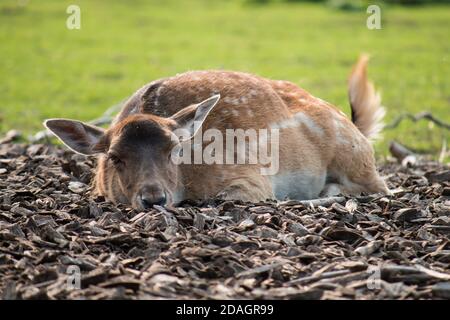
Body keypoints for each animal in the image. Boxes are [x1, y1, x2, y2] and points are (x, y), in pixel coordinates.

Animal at [44, 55, 390, 210]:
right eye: (115, 157)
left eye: (173, 150)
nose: (154, 198)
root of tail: (357, 126)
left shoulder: (252, 178)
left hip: (356, 159)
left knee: (382, 187)